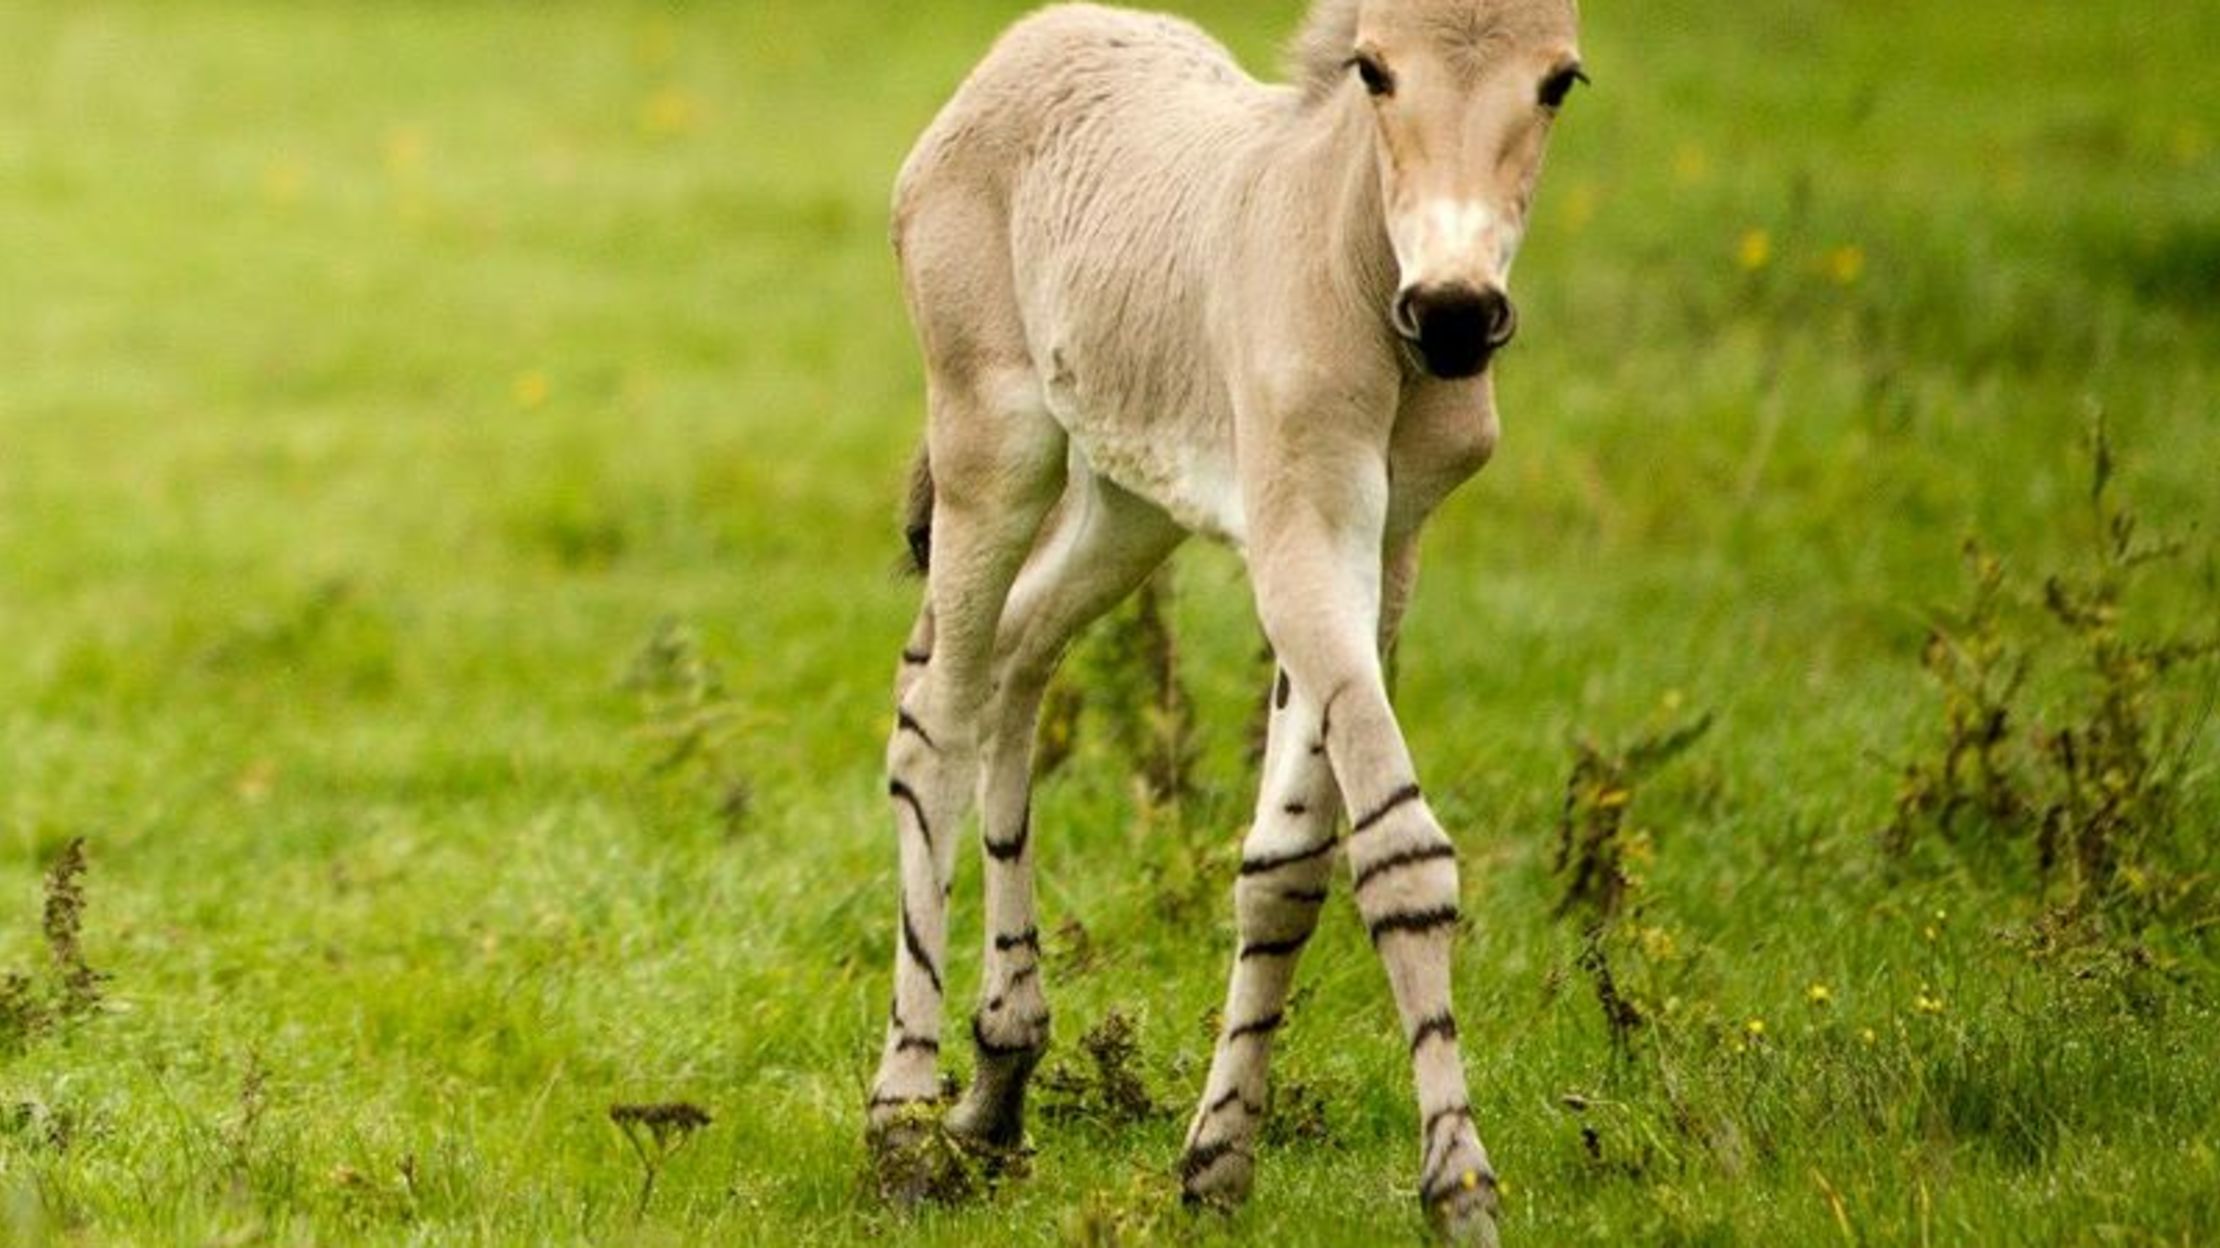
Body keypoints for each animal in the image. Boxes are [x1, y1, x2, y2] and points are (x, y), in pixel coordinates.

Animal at [865, 0, 1580, 1234]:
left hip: (1129, 502)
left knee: (1016, 660)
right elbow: (1399, 852)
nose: (1452, 318)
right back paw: (904, 1124)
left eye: (1558, 83)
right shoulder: (1303, 537)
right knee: (936, 718)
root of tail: (1034, 38)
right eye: (1375, 71)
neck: (1351, 268)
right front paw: (1460, 1189)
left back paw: (1000, 1080)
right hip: (993, 452)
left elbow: (1287, 862)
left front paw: (1217, 1165)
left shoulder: (1384, 554)